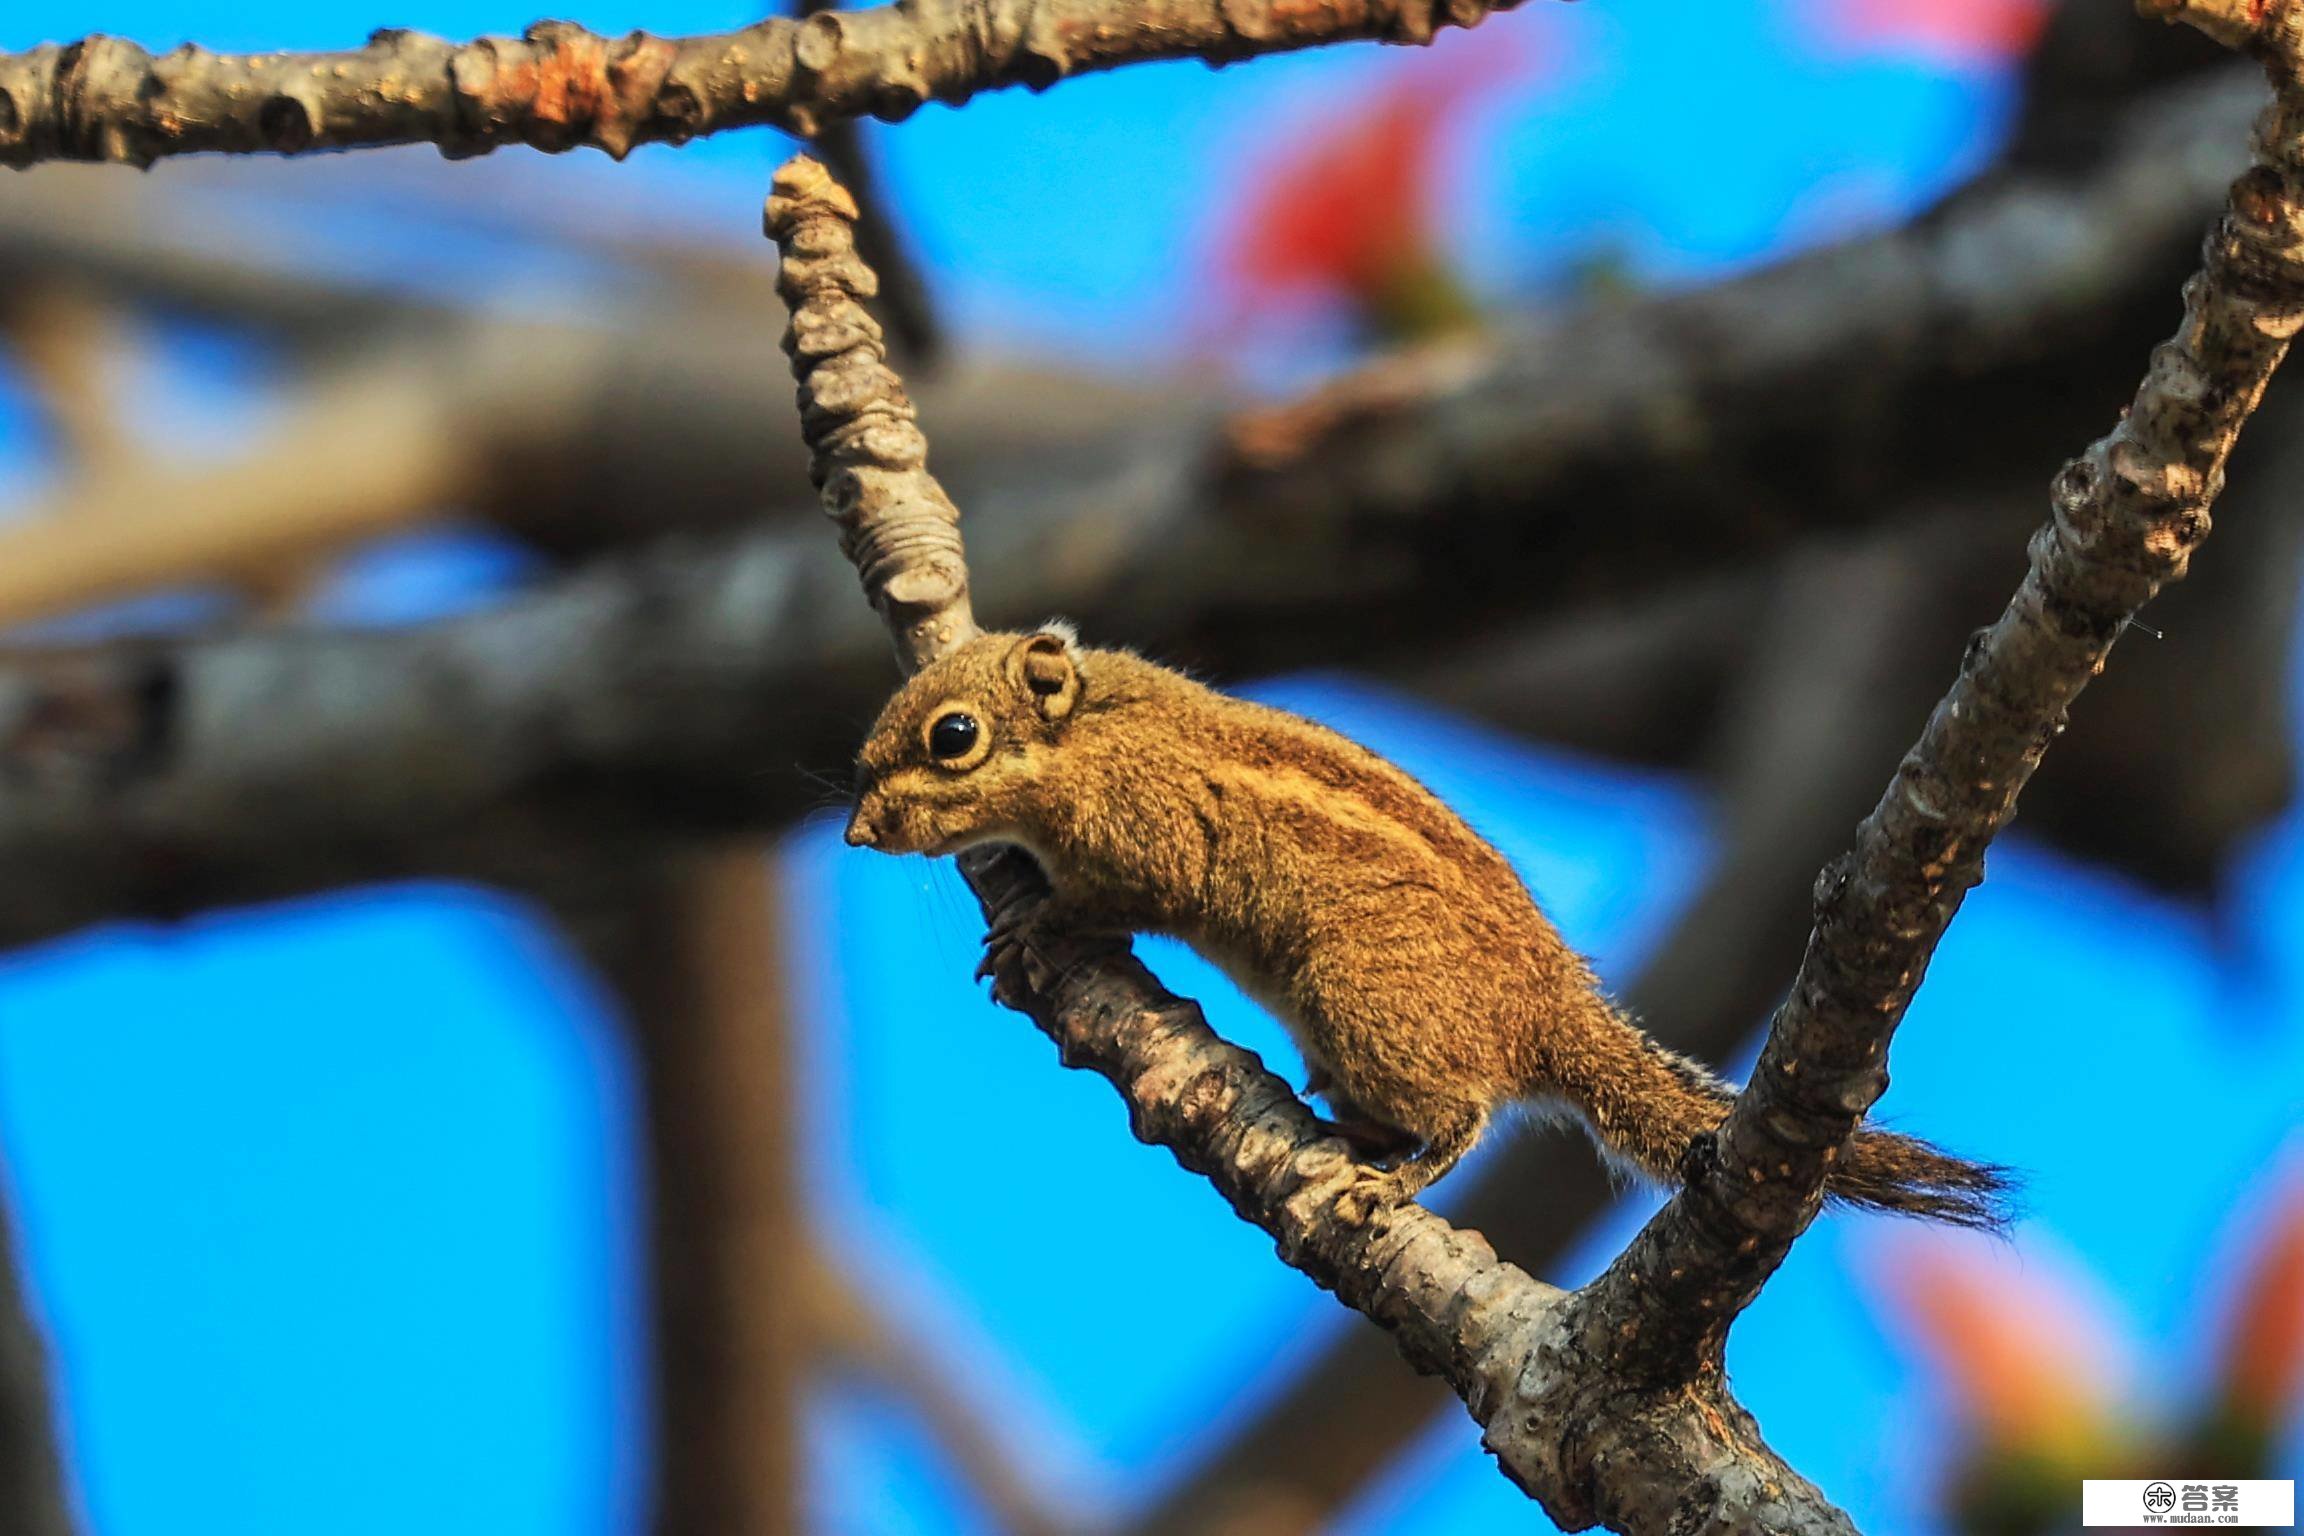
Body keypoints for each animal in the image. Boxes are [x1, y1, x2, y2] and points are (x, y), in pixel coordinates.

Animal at [847, 626, 2018, 1225]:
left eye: (953, 737)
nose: (858, 831)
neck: (1091, 731)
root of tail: (1552, 1011)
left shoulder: (1149, 839)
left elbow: (1115, 898)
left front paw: (1038, 928)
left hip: (1364, 998)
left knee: (1463, 1114)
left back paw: (1396, 1174)